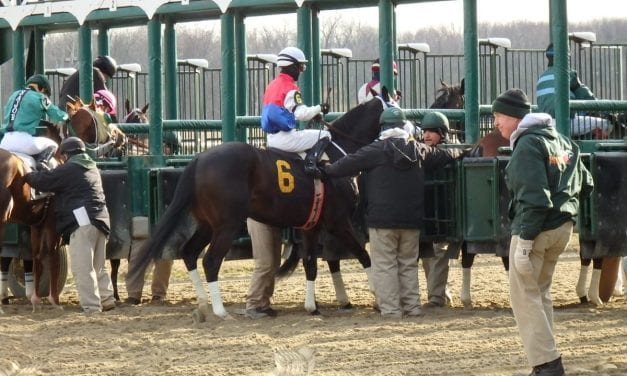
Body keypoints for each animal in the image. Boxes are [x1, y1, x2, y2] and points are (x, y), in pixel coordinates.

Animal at [125, 92, 394, 318]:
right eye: (395, 107)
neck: (337, 156)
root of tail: (199, 158)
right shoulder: (338, 222)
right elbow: (363, 255)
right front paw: (377, 297)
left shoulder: (311, 225)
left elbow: (310, 263)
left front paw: (312, 306)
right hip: (227, 225)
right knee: (210, 260)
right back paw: (220, 311)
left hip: (207, 224)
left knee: (189, 252)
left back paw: (203, 303)